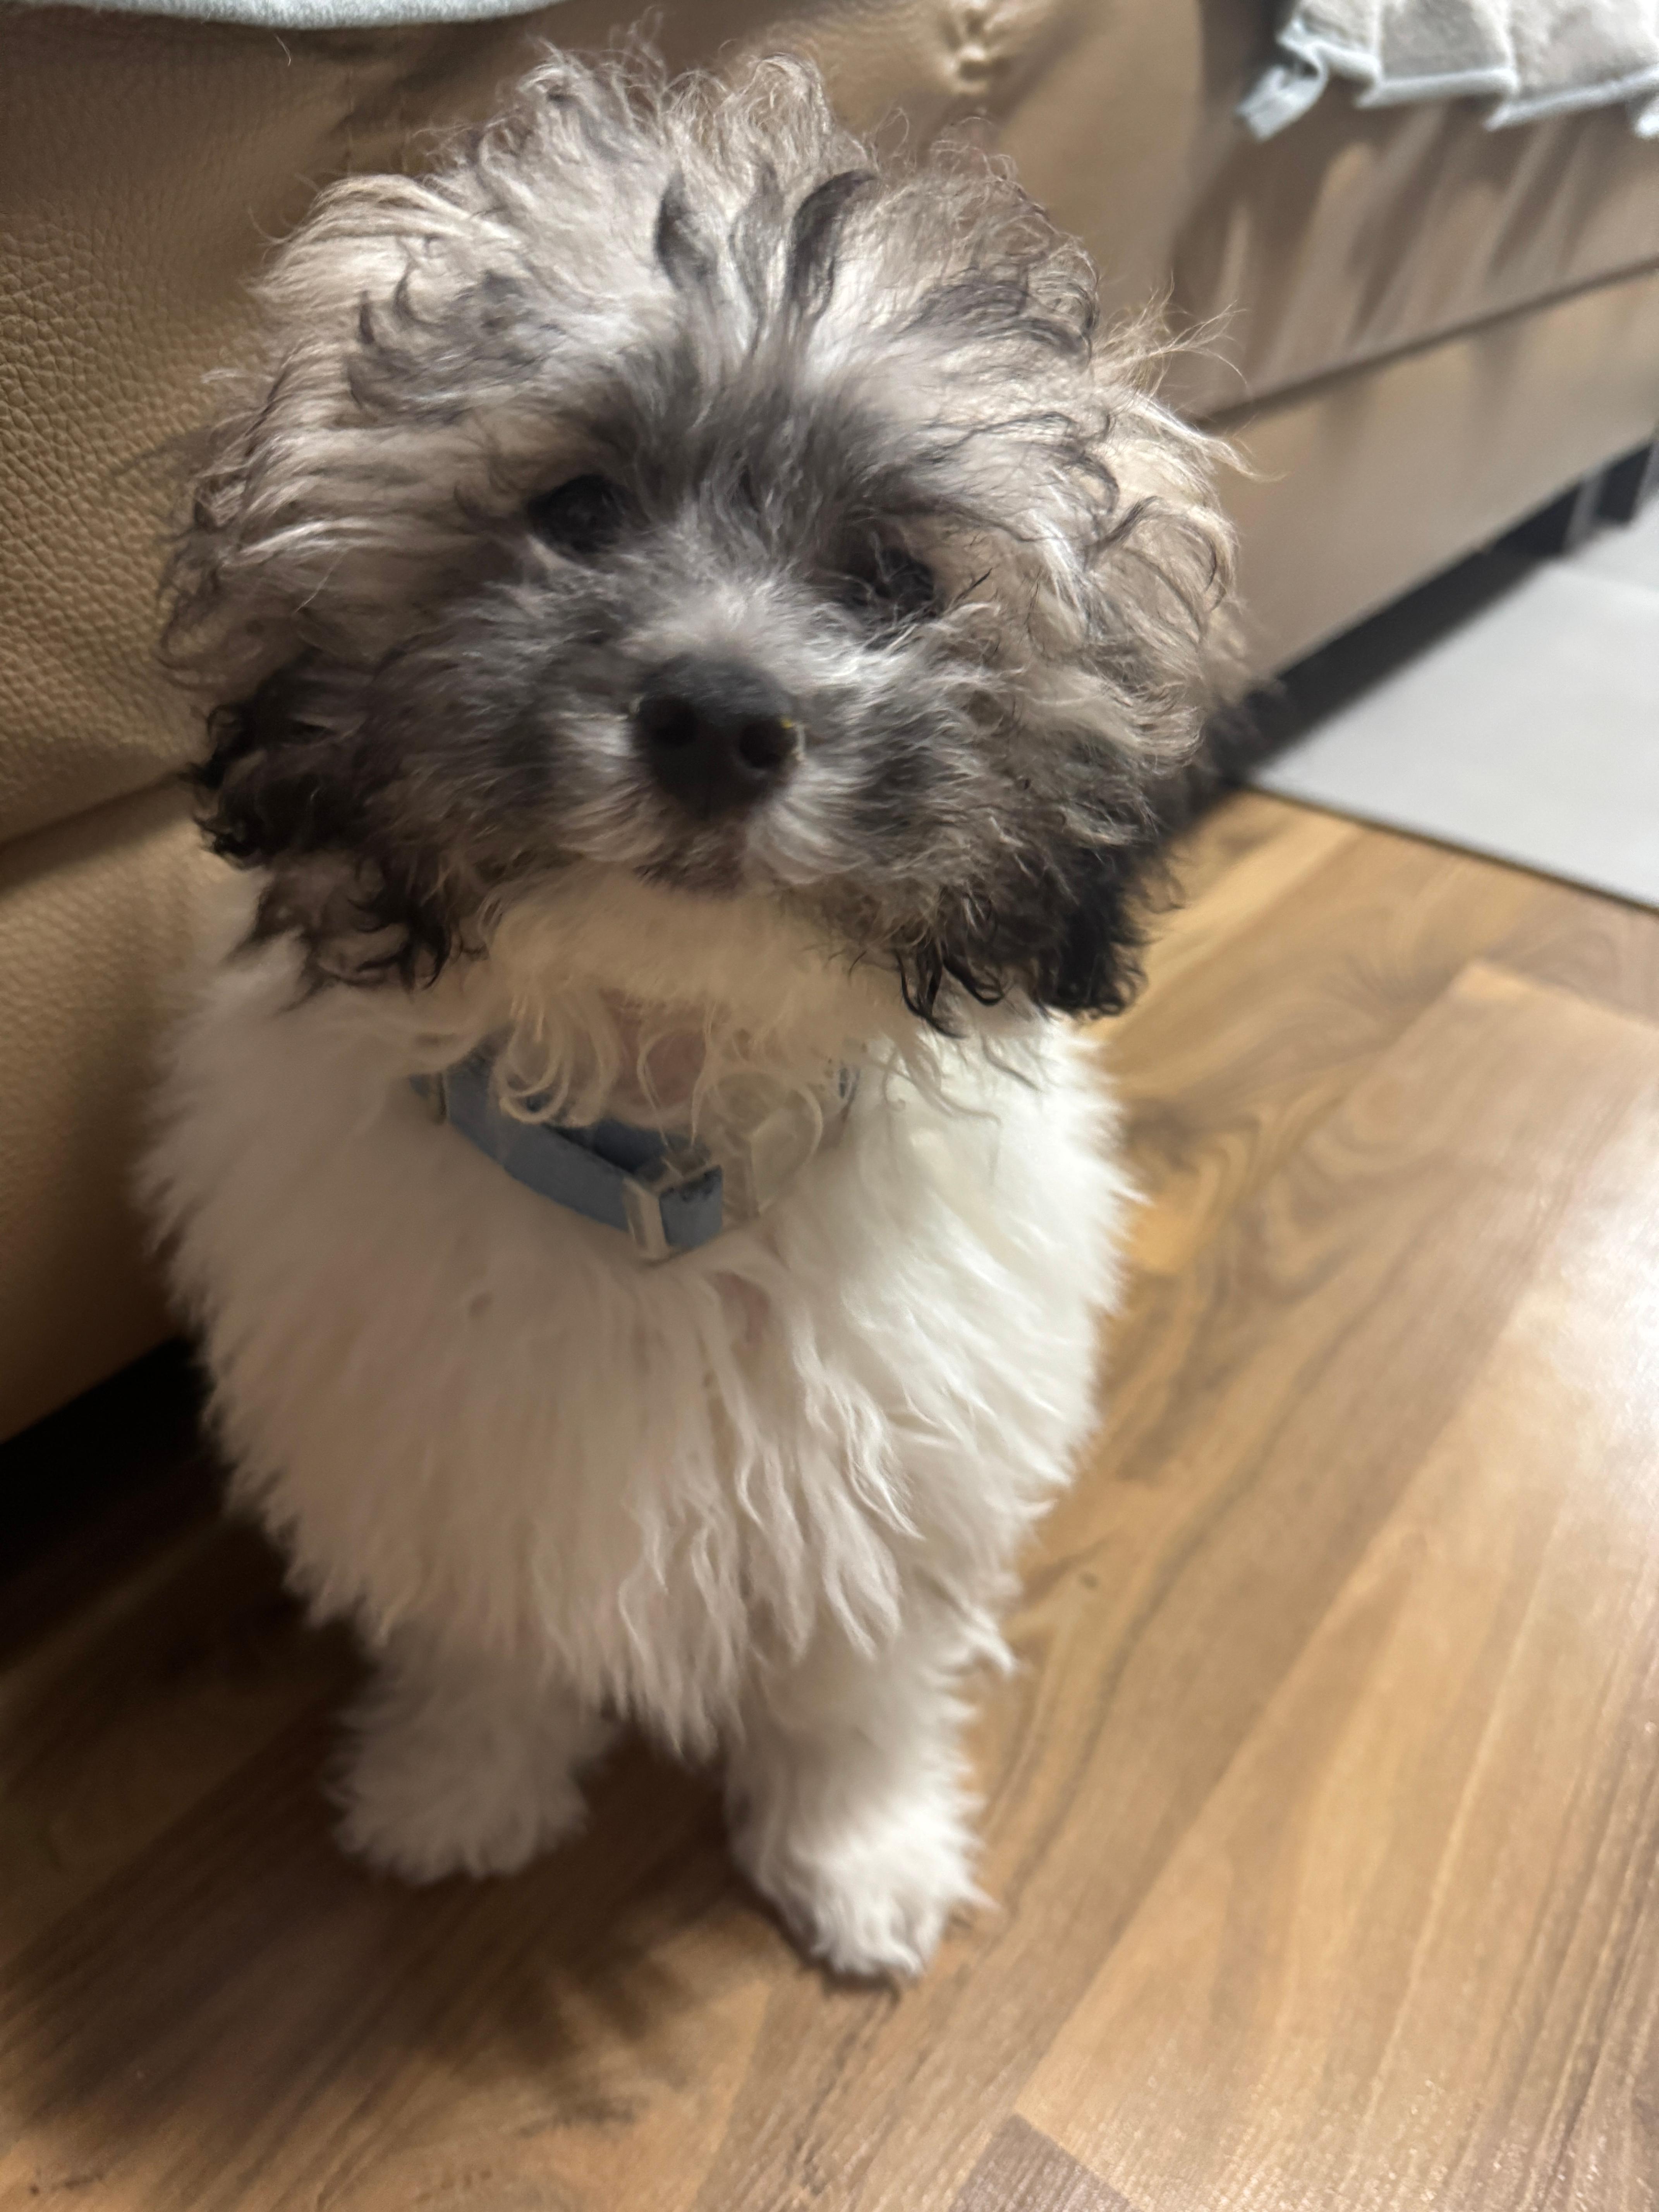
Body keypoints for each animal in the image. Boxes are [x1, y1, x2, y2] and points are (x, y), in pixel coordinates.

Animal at [143, 51, 1234, 1979]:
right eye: (575, 509)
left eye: (888, 578)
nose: (720, 718)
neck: (660, 1112)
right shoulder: (443, 1441)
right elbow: (483, 1635)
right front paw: (455, 1791)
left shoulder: (899, 1459)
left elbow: (853, 1677)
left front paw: (862, 1854)